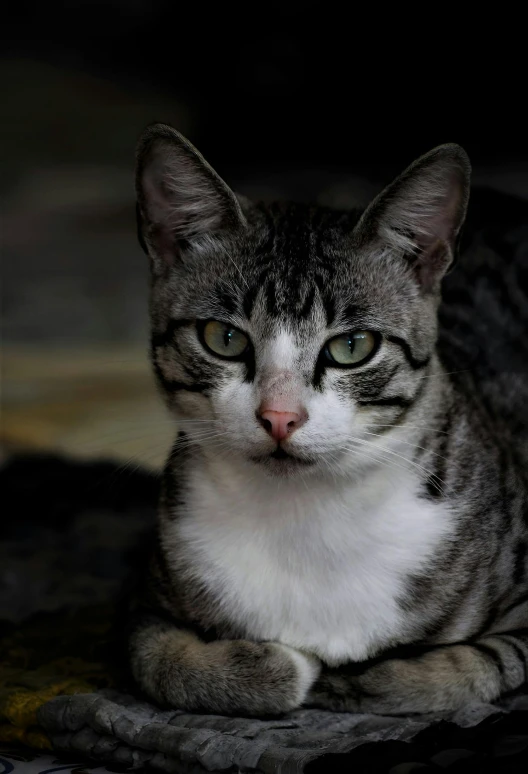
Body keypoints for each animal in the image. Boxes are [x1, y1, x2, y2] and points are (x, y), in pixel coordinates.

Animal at [128, 124, 528, 720]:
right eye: (224, 338)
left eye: (352, 346)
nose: (280, 416)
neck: (302, 516)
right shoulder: (146, 606)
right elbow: (163, 664)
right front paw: (281, 667)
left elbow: (465, 666)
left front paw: (353, 677)